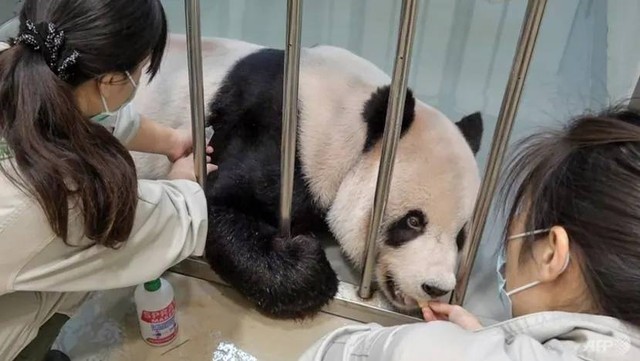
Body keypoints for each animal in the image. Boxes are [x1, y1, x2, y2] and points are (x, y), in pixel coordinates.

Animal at [135, 34, 482, 318]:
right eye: (413, 221)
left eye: (461, 236)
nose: (436, 287)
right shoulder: (280, 138)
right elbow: (215, 203)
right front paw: (307, 258)